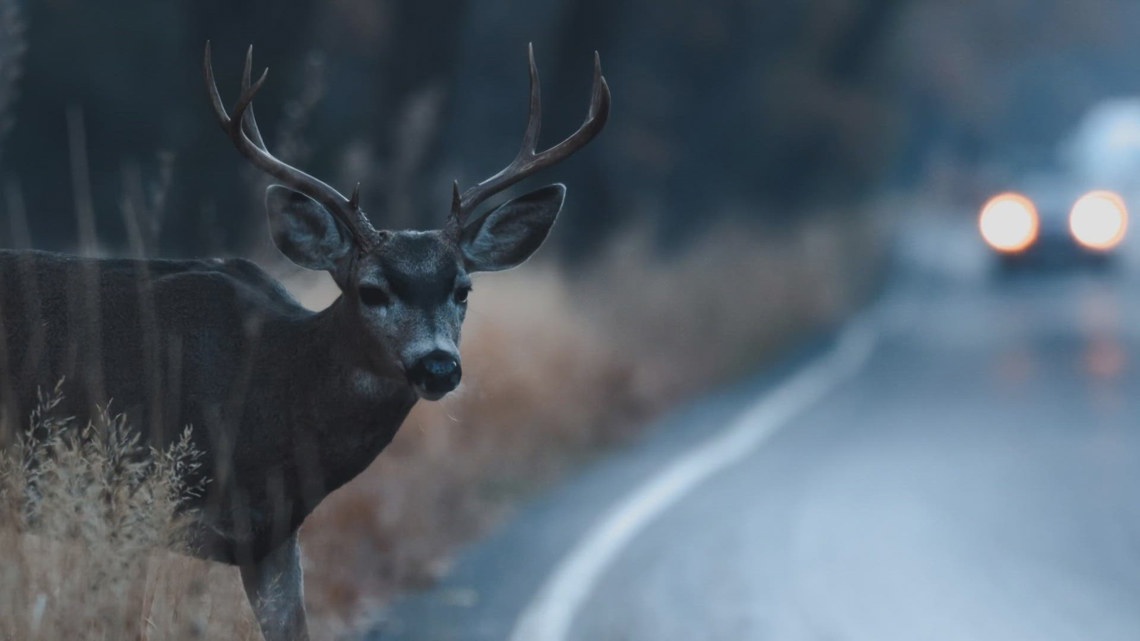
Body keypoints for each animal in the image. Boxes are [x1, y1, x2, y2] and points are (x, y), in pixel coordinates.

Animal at [0, 43, 606, 638]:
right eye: (371, 290)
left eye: (462, 289)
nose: (438, 366)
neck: (270, 391)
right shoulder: (127, 495)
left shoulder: (272, 536)